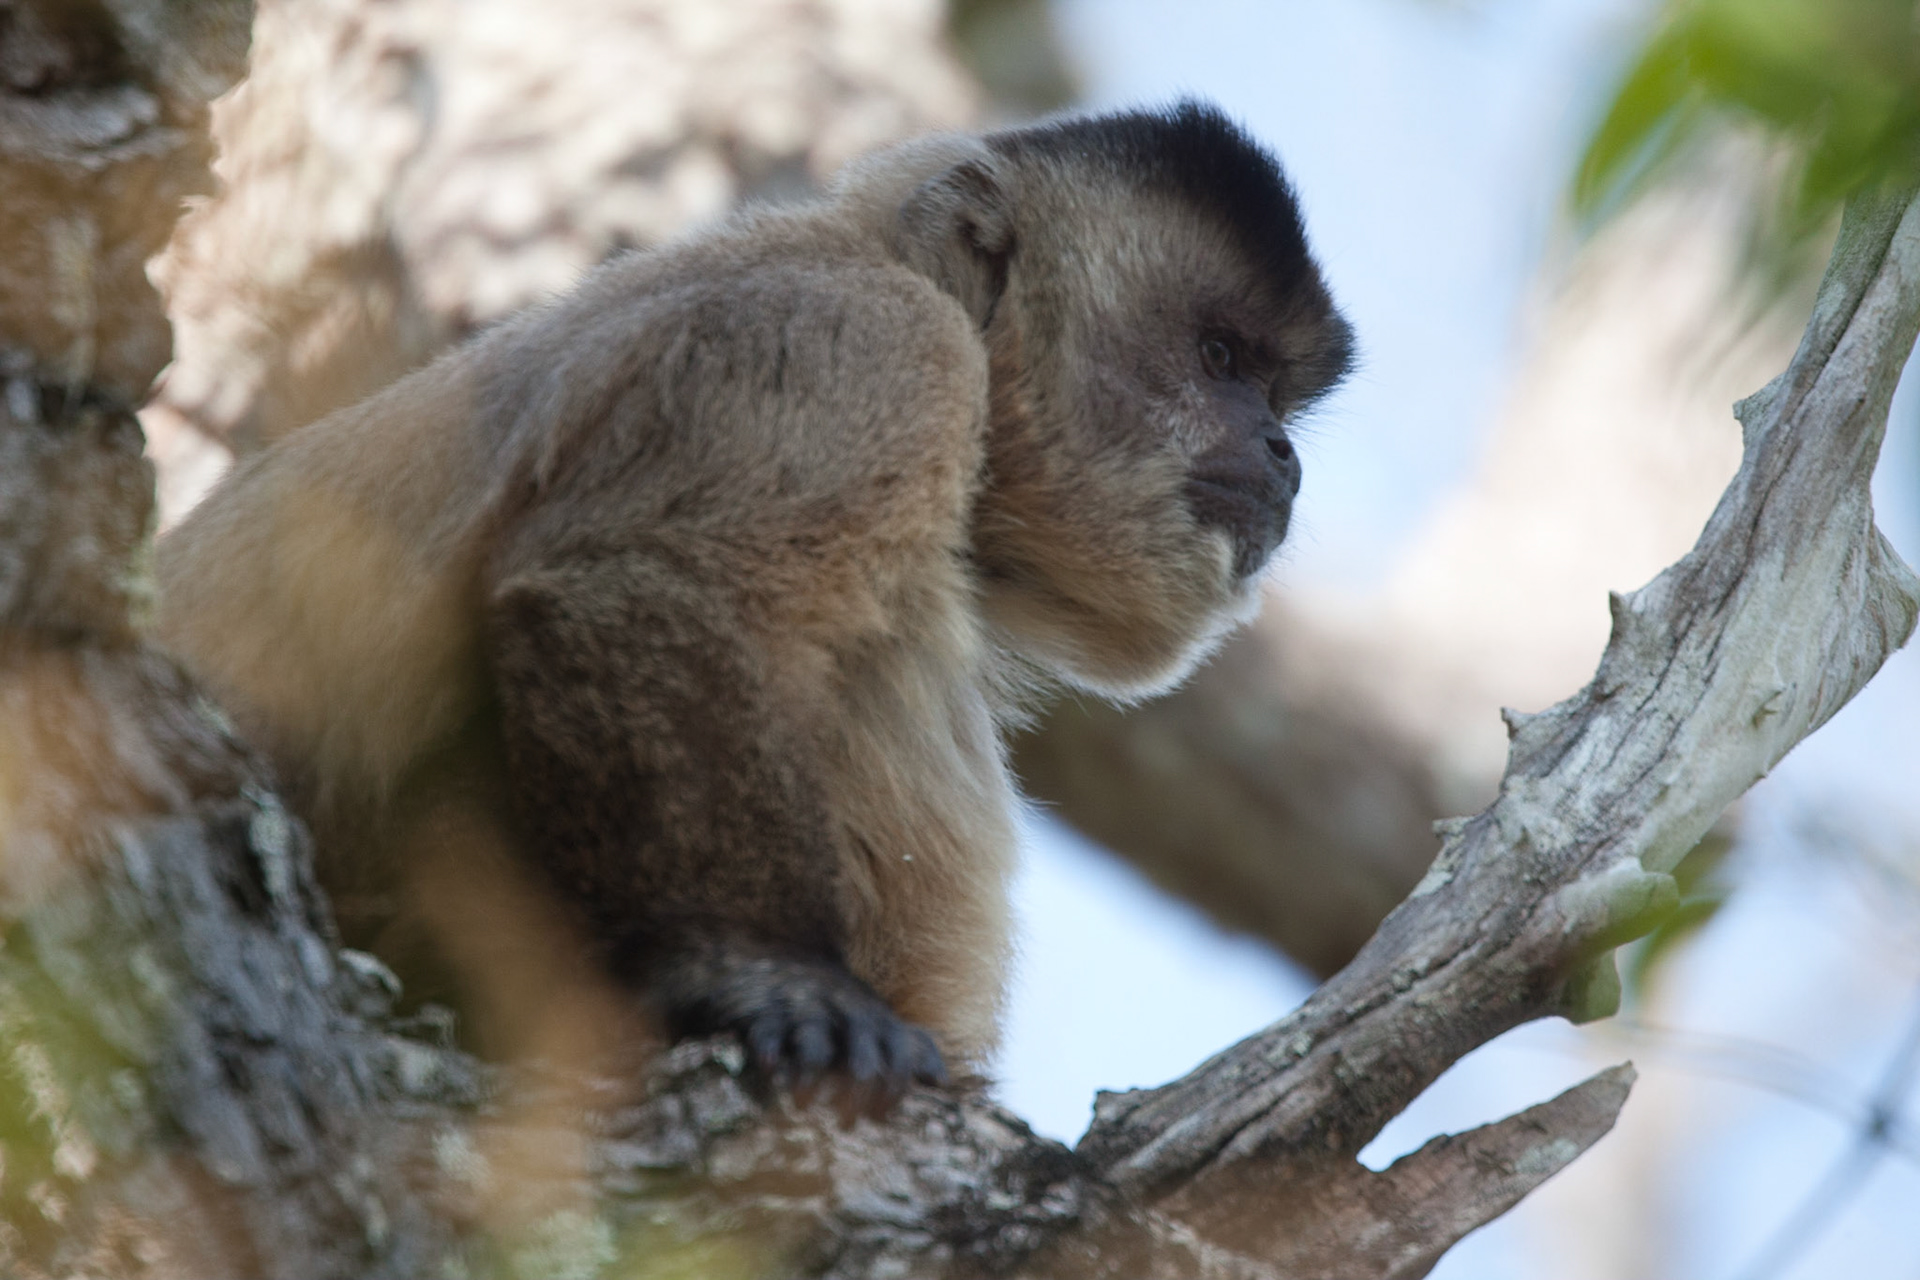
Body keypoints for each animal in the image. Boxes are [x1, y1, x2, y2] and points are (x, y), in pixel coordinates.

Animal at [154, 101, 1354, 1105]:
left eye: (1277, 393)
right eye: (1218, 356)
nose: (1283, 452)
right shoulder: (865, 343)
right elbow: (640, 582)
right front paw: (760, 977)